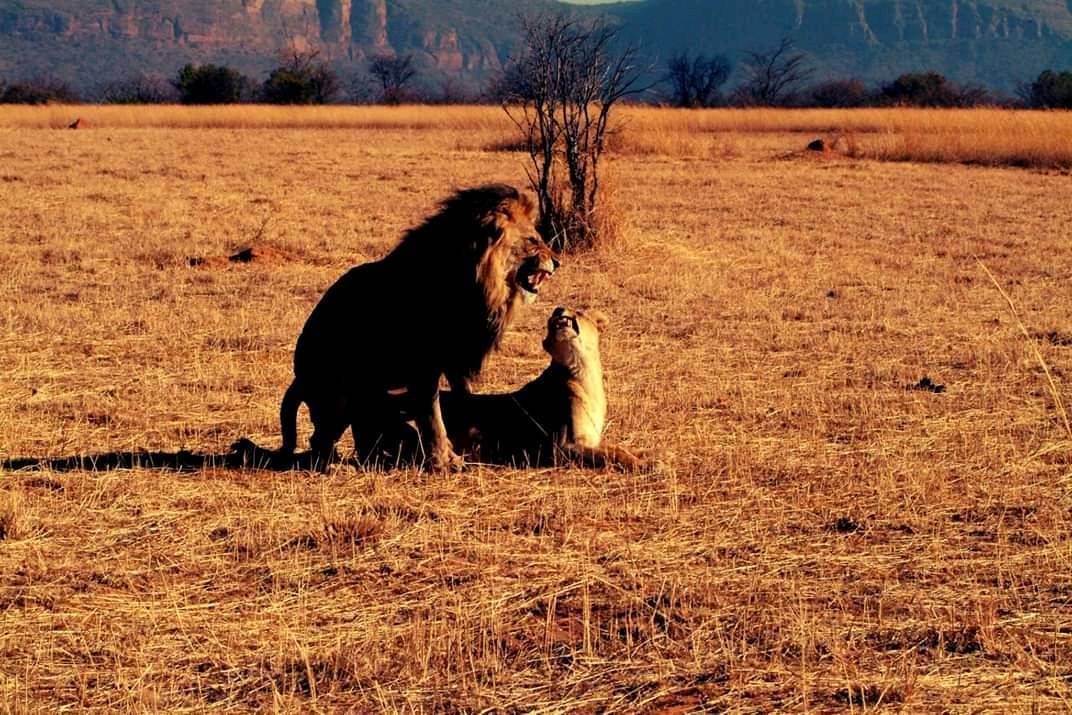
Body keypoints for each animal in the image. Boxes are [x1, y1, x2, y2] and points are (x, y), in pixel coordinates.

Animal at [276, 184, 561, 469]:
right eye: (533, 240)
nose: (557, 262)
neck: (478, 284)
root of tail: (298, 379)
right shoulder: (424, 366)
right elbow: (432, 417)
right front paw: (444, 462)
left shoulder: (457, 361)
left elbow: (463, 402)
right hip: (340, 393)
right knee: (319, 439)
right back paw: (334, 465)